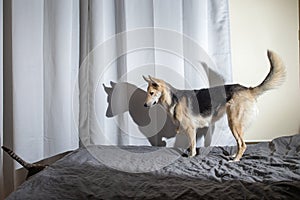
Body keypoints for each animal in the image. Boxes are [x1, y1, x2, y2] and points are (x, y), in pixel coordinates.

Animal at [143, 50, 286, 162]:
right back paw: (234, 155)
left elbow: (192, 148)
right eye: (147, 93)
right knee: (239, 143)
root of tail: (248, 89)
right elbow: (190, 146)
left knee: (243, 144)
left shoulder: (191, 129)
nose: (144, 105)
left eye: (151, 93)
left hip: (233, 123)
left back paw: (235, 160)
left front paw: (190, 157)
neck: (173, 99)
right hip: (236, 125)